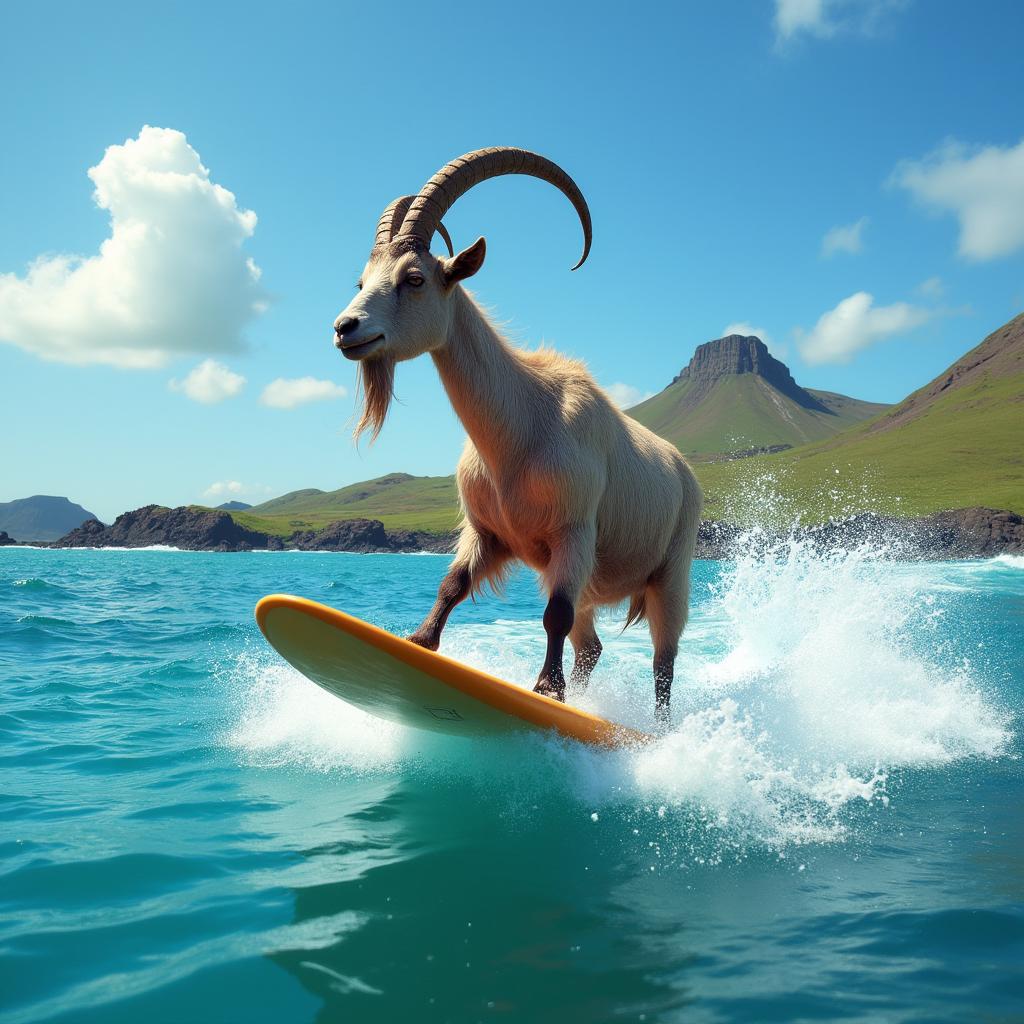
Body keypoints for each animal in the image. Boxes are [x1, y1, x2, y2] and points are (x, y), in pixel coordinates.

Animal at [332, 148, 703, 723]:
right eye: (362, 281)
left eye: (414, 278)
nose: (345, 329)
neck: (522, 429)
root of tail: (683, 470)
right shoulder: (488, 532)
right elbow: (453, 584)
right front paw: (418, 643)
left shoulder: (574, 534)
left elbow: (554, 614)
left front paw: (547, 691)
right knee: (591, 646)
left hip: (672, 570)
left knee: (663, 661)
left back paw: (658, 728)